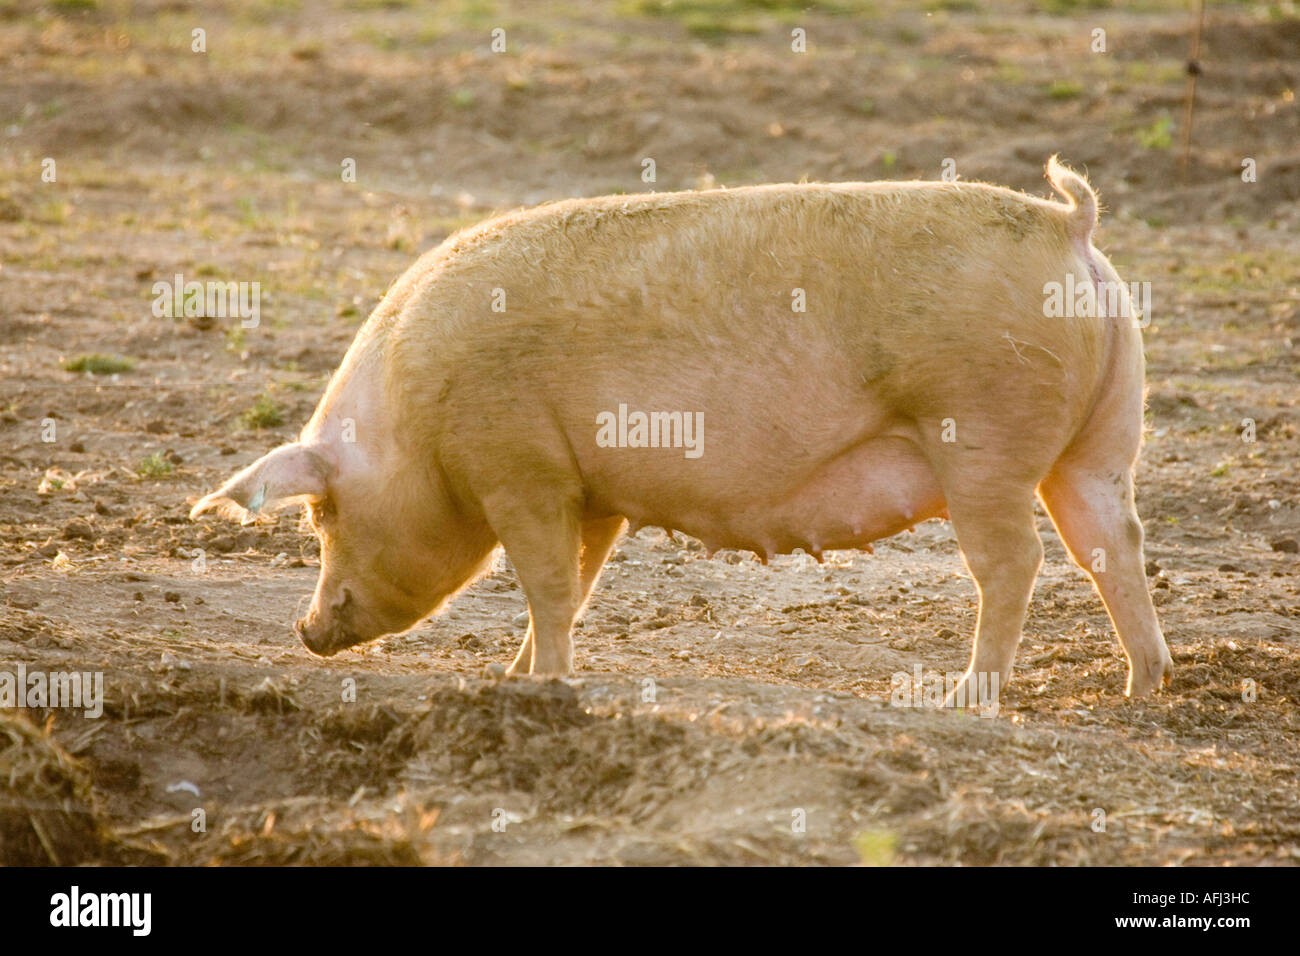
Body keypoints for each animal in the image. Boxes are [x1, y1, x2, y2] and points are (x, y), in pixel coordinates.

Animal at [192, 157, 1180, 707]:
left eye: (322, 515)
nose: (304, 631)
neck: (412, 421)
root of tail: (1070, 224)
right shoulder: (588, 491)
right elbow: (576, 585)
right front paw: (515, 677)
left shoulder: (518, 466)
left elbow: (546, 583)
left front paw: (540, 687)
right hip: (1102, 441)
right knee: (1113, 542)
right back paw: (1144, 688)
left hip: (981, 434)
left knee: (1018, 561)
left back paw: (969, 697)